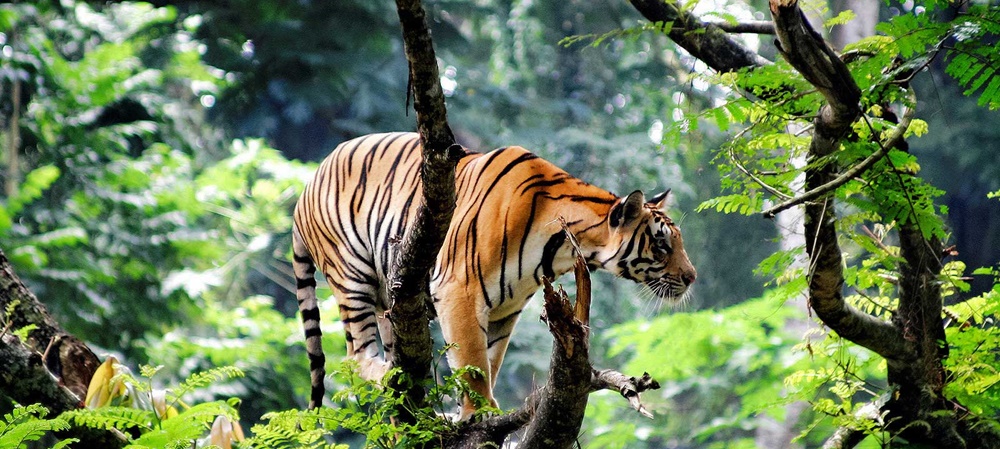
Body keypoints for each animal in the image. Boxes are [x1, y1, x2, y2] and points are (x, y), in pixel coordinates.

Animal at [290, 131, 696, 414]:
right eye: (662, 245)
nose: (692, 277)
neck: (562, 248)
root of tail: (307, 184)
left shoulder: (505, 309)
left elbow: (490, 361)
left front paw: (467, 412)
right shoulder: (459, 290)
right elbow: (472, 363)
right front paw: (478, 414)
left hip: (389, 302)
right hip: (352, 276)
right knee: (354, 357)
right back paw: (392, 377)